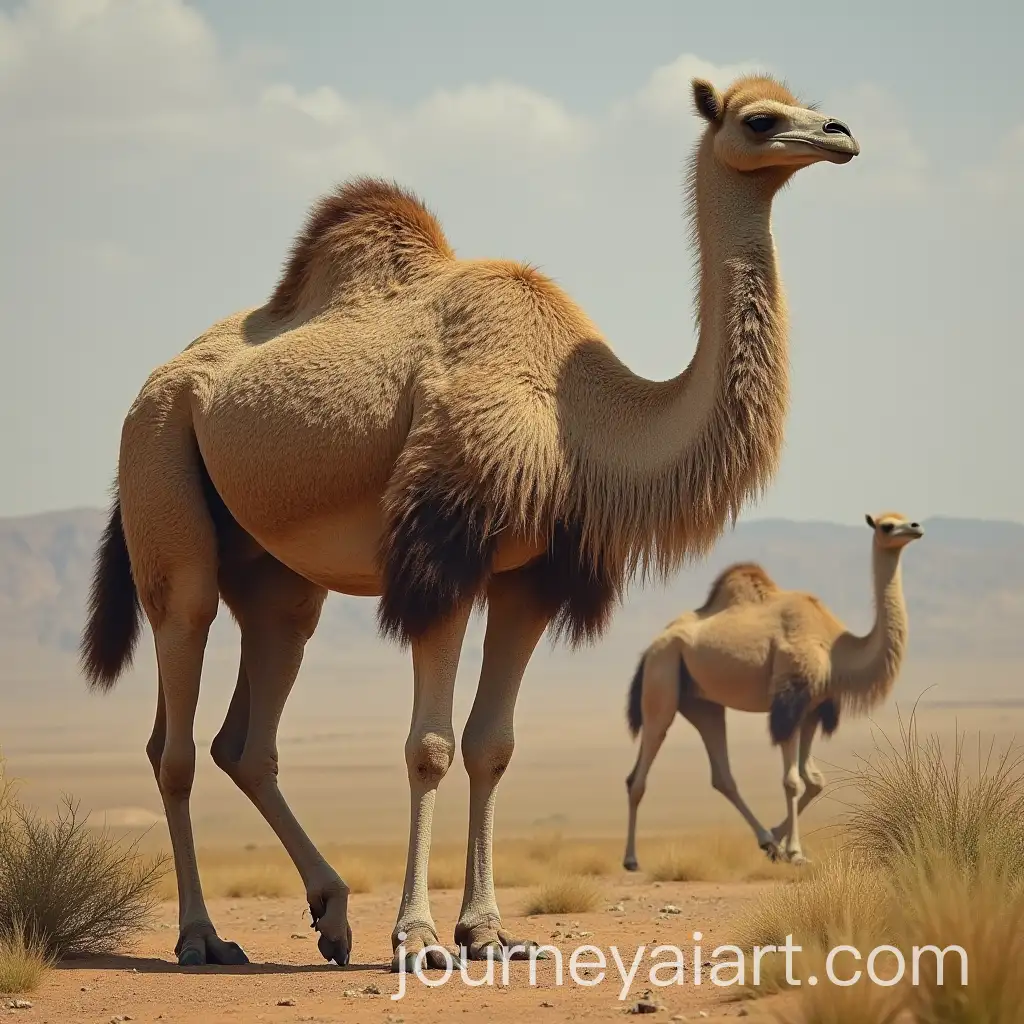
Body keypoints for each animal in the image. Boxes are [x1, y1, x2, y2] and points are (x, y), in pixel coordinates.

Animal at [78, 73, 859, 972]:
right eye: (759, 120)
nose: (839, 135)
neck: (579, 419)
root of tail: (157, 382)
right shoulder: (442, 554)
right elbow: (431, 746)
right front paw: (418, 937)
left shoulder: (531, 577)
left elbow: (493, 743)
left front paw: (486, 930)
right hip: (163, 477)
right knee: (173, 730)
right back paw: (204, 935)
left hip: (276, 578)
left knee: (246, 734)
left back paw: (332, 913)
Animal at [622, 512, 922, 871]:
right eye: (887, 526)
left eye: (906, 518)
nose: (916, 528)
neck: (835, 649)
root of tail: (650, 648)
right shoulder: (788, 702)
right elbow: (792, 780)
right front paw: (794, 851)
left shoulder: (812, 709)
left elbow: (814, 780)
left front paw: (778, 843)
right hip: (663, 677)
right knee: (640, 770)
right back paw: (631, 859)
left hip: (702, 702)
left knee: (721, 774)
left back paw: (765, 839)